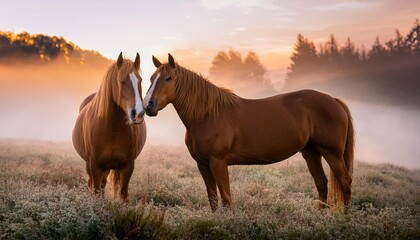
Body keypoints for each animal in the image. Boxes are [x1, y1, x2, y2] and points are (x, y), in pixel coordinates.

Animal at [74, 52, 148, 201]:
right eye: (122, 81)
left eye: (140, 81)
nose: (138, 114)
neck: (112, 128)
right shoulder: (95, 166)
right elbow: (96, 191)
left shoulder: (128, 166)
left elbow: (123, 194)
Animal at [144, 53, 354, 211]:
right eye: (151, 79)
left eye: (169, 78)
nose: (148, 106)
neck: (207, 115)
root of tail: (334, 100)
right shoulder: (202, 164)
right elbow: (213, 199)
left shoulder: (218, 162)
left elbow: (226, 199)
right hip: (311, 152)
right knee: (322, 183)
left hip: (331, 152)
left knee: (345, 181)